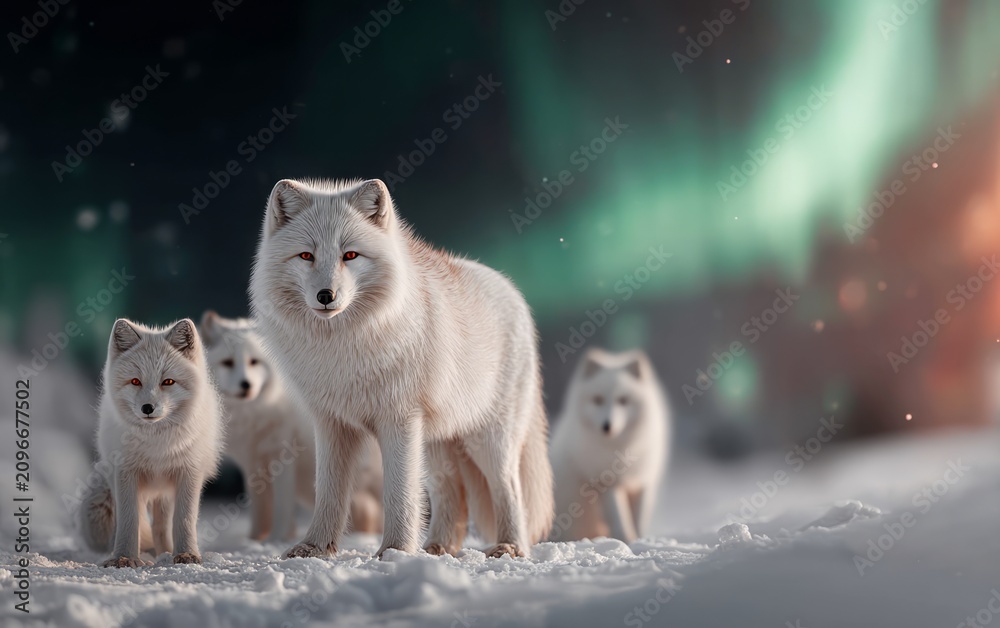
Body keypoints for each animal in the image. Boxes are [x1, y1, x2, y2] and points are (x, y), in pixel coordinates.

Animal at [79, 319, 223, 567]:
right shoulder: (125, 472)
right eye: (135, 381)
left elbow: (184, 519)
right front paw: (124, 557)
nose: (148, 408)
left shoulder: (189, 472)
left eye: (168, 382)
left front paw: (186, 554)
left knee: (161, 525)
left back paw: (165, 553)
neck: (157, 443)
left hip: (166, 489)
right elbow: (129, 520)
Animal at [199, 310, 383, 541]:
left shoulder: (282, 460)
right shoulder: (253, 465)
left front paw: (278, 538)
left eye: (254, 362)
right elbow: (260, 512)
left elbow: (282, 507)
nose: (246, 385)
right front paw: (255, 540)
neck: (256, 414)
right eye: (228, 363)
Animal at [249, 178, 554, 559]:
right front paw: (315, 547)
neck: (342, 350)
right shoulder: (332, 423)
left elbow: (400, 493)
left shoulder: (399, 419)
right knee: (452, 494)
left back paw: (510, 546)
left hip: (489, 439)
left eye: (350, 255)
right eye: (306, 256)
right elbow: (329, 492)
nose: (326, 296)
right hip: (438, 444)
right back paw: (438, 548)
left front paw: (394, 552)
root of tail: (513, 290)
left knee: (508, 489)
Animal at [549, 349, 670, 543]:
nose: (607, 426)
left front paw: (640, 540)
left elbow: (639, 518)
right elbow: (619, 517)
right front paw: (625, 540)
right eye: (598, 399)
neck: (621, 450)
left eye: (623, 400)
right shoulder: (606, 483)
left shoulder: (643, 481)